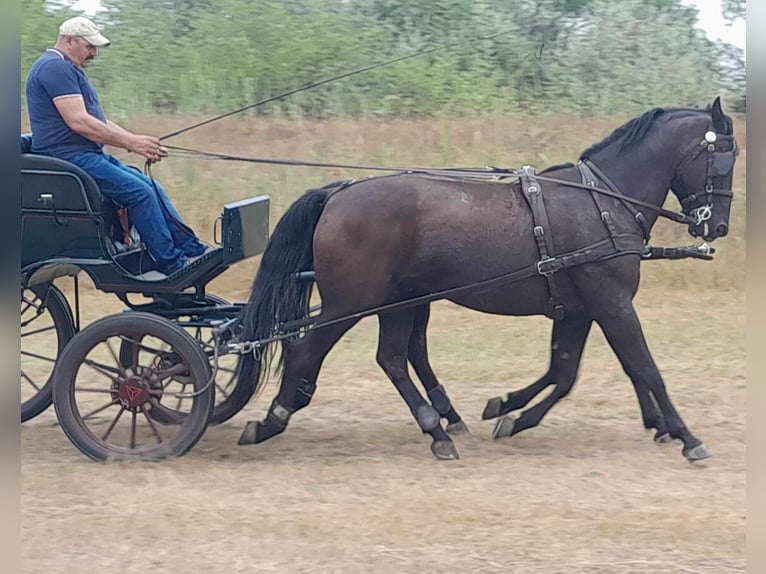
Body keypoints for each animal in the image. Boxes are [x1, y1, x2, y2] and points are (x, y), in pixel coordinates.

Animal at [236, 99, 736, 466]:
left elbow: (566, 372)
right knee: (310, 351)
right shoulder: (611, 302)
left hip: (398, 302)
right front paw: (687, 435)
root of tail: (339, 192)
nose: (716, 227)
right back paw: (274, 420)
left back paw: (437, 428)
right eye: (724, 159)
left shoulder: (579, 309)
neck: (602, 203)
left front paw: (510, 411)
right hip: (350, 303)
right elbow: (644, 367)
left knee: (393, 357)